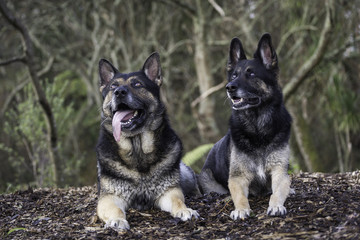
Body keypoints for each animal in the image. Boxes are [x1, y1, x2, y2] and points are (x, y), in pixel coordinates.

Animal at [95, 53, 200, 231]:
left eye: (137, 84)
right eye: (113, 86)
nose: (119, 92)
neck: (137, 148)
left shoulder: (168, 192)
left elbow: (178, 200)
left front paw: (184, 210)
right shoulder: (109, 197)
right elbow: (115, 209)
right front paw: (117, 220)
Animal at [197, 33, 292, 219]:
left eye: (251, 73)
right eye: (234, 76)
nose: (229, 87)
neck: (258, 128)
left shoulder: (279, 172)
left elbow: (278, 191)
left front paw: (276, 205)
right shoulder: (237, 177)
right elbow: (240, 195)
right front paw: (241, 209)